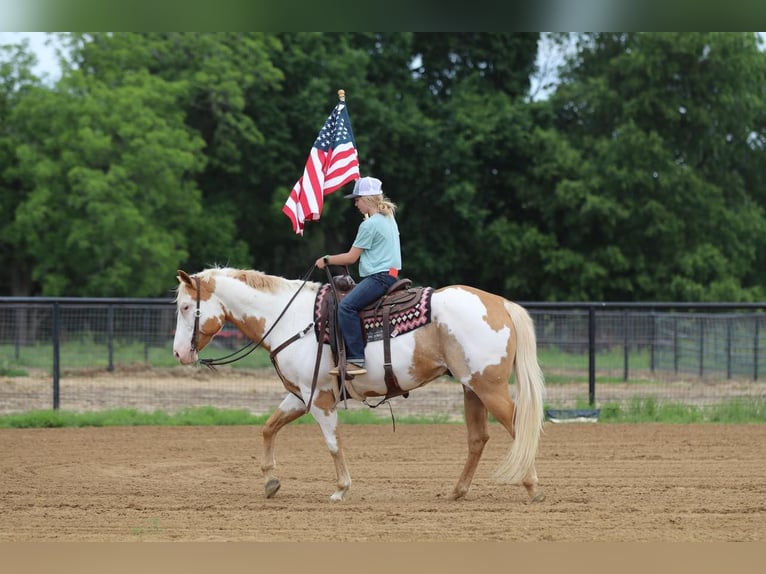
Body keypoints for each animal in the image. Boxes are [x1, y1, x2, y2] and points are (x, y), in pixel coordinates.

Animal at [174, 266, 544, 504]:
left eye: (186, 306)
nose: (179, 353)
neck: (291, 320)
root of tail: (500, 303)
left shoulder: (319, 399)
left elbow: (333, 443)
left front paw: (341, 488)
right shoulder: (301, 395)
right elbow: (268, 428)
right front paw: (270, 482)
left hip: (489, 387)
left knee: (520, 428)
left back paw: (531, 486)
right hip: (472, 389)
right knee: (478, 439)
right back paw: (458, 492)